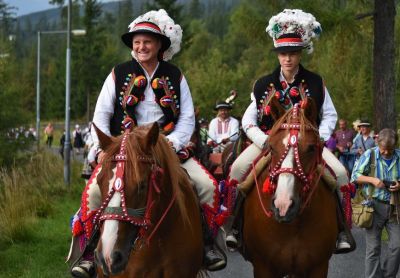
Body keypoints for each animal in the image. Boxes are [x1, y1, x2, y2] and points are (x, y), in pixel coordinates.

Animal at [242, 100, 340, 278]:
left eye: (311, 148)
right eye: (271, 147)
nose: (283, 205)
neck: (293, 225)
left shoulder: (319, 267)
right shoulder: (263, 267)